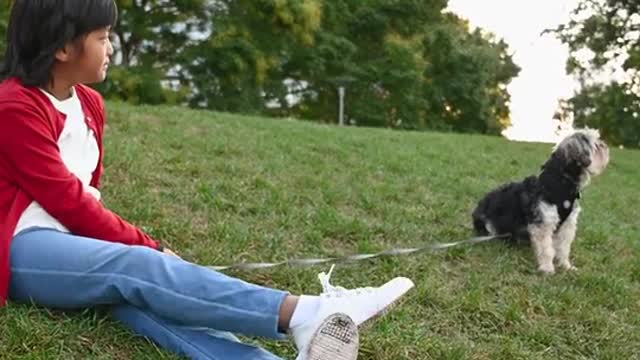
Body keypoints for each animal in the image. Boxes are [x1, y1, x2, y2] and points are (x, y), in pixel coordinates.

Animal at [472, 129, 608, 272]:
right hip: (489, 224)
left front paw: (566, 266)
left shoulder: (567, 226)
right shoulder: (542, 224)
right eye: (596, 145)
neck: (560, 185)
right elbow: (546, 249)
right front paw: (547, 268)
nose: (604, 145)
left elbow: (564, 248)